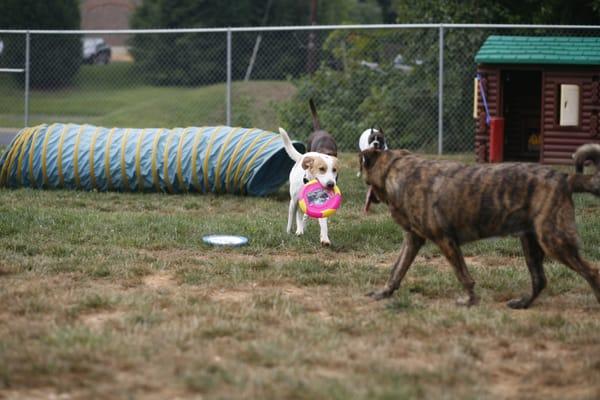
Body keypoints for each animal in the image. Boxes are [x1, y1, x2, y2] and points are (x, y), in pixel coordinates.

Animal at [358, 145, 600, 310]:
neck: (394, 170)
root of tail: (565, 178)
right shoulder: (413, 240)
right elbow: (396, 270)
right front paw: (384, 292)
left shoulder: (446, 240)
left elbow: (464, 276)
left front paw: (470, 300)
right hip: (531, 243)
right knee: (539, 280)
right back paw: (522, 303)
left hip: (554, 241)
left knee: (592, 272)